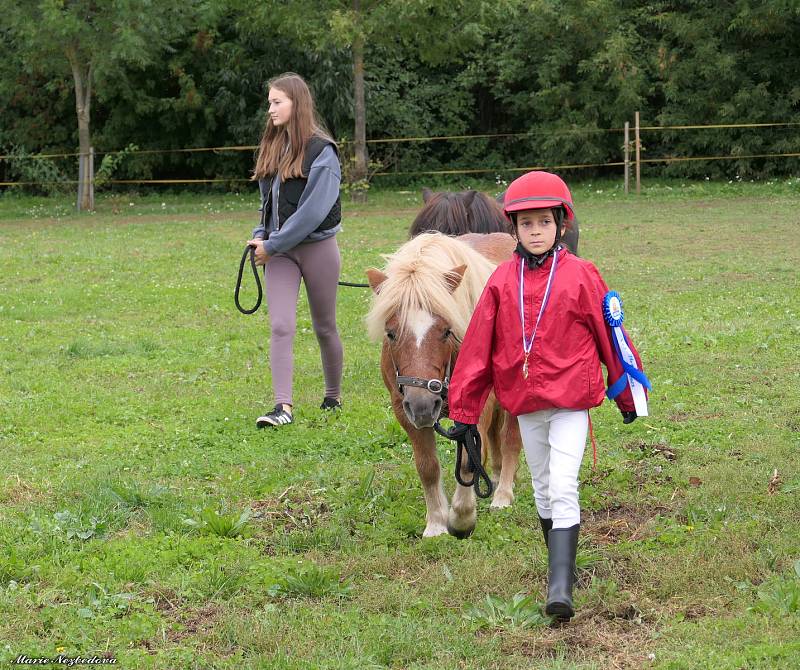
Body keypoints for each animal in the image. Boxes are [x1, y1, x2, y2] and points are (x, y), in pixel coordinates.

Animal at [366, 234, 520, 540]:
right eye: (391, 333)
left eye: (447, 331)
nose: (424, 405)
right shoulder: (403, 410)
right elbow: (428, 466)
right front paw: (436, 523)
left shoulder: (477, 404)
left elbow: (469, 460)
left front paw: (462, 518)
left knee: (509, 438)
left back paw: (503, 494)